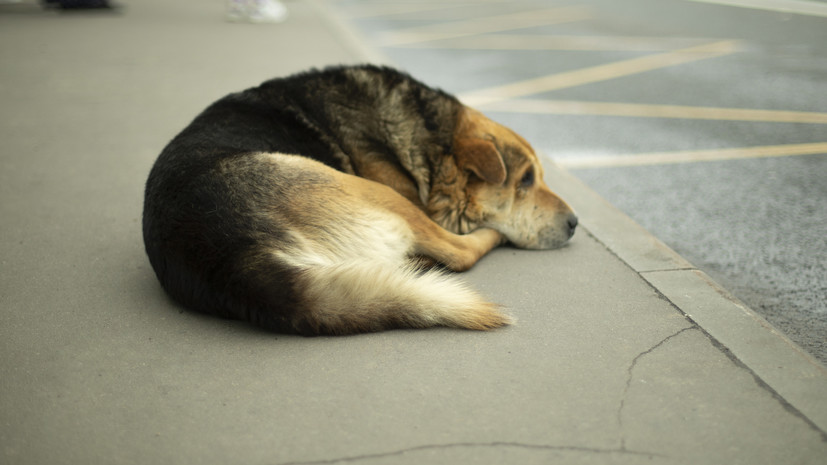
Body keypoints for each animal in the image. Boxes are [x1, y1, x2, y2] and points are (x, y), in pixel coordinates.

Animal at [142, 64, 580, 334]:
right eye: (525, 180)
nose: (576, 223)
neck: (430, 140)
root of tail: (234, 259)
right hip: (370, 191)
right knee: (460, 252)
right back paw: (486, 238)